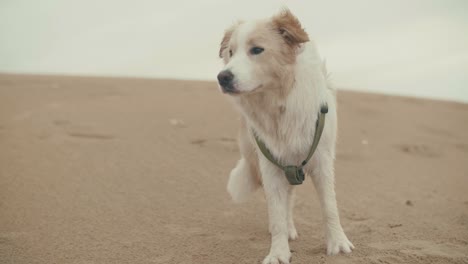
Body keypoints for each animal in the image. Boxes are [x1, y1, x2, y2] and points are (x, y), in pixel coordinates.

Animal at [218, 8, 352, 264]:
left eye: (256, 50)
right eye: (231, 52)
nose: (223, 77)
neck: (278, 103)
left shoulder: (322, 161)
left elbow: (329, 207)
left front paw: (338, 244)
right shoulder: (270, 163)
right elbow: (277, 214)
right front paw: (278, 252)